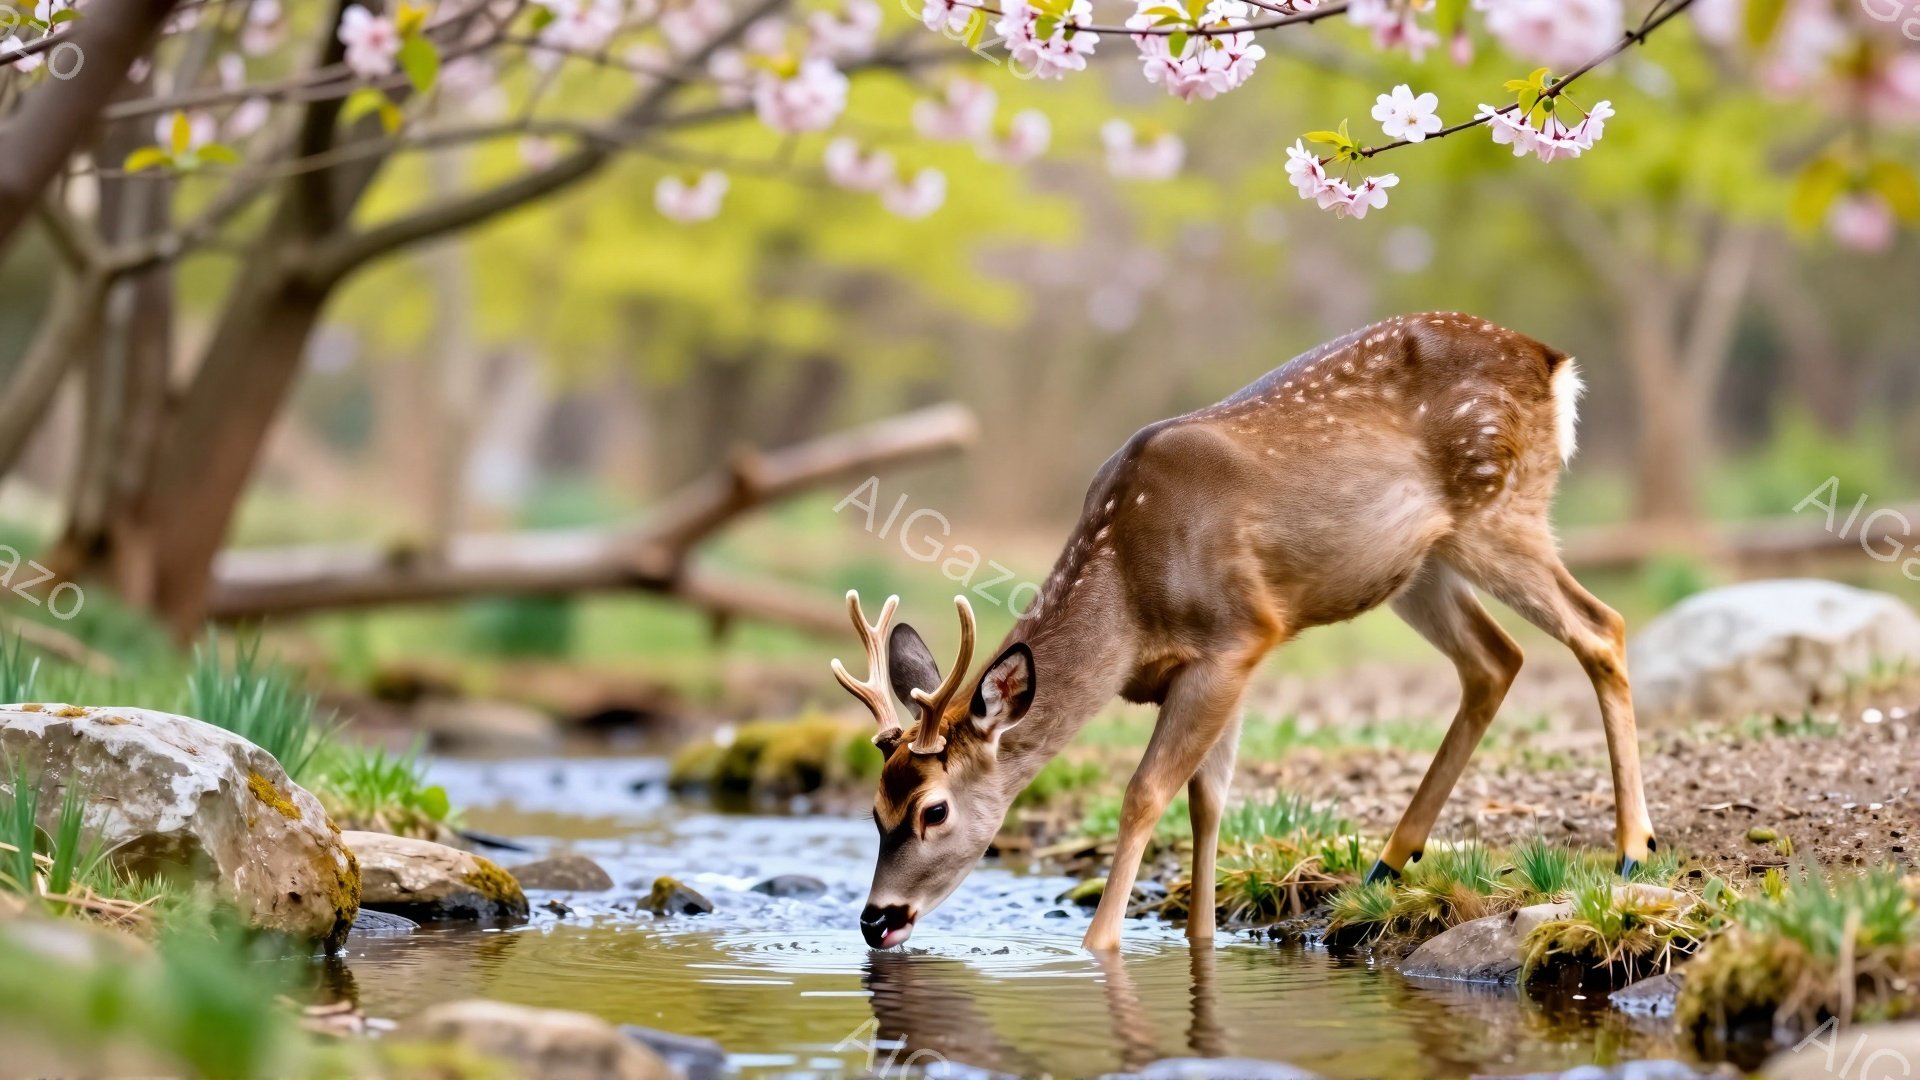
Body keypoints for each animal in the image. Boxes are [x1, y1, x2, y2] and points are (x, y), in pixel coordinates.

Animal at [833, 312, 1658, 952]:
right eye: (873, 808)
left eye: (934, 810)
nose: (876, 920)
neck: (1127, 604)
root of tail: (1553, 363)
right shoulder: (1212, 667)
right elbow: (1208, 803)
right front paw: (1200, 941)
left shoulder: (1236, 639)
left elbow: (1146, 793)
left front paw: (1099, 947)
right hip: (1422, 564)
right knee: (1496, 658)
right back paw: (1389, 861)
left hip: (1499, 510)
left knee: (1601, 627)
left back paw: (1633, 852)